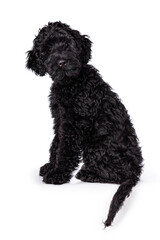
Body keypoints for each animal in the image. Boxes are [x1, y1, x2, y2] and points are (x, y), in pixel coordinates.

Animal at [26, 22, 144, 227]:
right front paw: (51, 165)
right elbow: (55, 145)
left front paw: (57, 174)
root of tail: (136, 170)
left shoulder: (74, 124)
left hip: (96, 148)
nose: (61, 62)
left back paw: (87, 174)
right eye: (47, 50)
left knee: (118, 176)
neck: (72, 84)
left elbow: (65, 150)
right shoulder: (60, 120)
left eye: (67, 44)